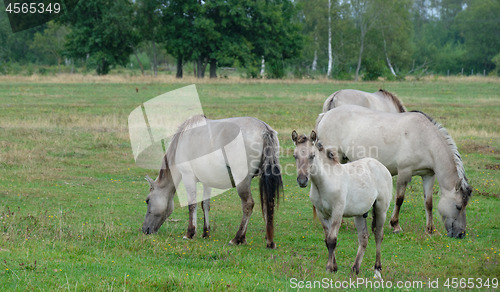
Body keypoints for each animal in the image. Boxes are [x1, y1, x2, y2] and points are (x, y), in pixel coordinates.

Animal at [142, 114, 282, 249]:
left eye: (147, 200)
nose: (144, 230)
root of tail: (264, 129)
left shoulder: (188, 177)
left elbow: (192, 205)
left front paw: (190, 233)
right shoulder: (207, 181)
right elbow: (205, 204)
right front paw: (206, 232)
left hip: (242, 182)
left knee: (248, 204)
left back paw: (238, 238)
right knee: (268, 204)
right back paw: (269, 240)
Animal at [292, 131, 392, 276]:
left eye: (312, 155)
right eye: (295, 156)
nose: (302, 180)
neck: (325, 182)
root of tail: (381, 166)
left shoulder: (337, 212)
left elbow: (332, 240)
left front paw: (329, 267)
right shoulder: (322, 214)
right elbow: (327, 240)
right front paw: (334, 267)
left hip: (381, 209)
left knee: (378, 235)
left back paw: (377, 269)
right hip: (359, 213)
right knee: (364, 237)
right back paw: (355, 269)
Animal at [316, 104, 472, 238]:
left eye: (465, 206)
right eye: (458, 206)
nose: (461, 234)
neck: (424, 139)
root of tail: (325, 115)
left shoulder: (428, 175)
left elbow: (428, 203)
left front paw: (430, 230)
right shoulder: (404, 172)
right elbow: (399, 199)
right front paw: (395, 225)